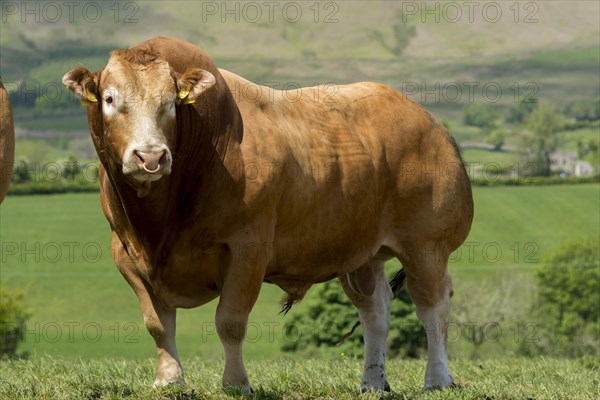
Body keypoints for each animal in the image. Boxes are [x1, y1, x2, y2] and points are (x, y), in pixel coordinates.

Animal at [62, 36, 474, 394]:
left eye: (170, 103)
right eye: (110, 98)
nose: (150, 156)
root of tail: (430, 123)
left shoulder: (247, 250)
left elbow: (230, 322)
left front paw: (235, 383)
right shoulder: (126, 253)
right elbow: (158, 325)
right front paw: (170, 381)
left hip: (426, 246)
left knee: (433, 307)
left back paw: (437, 379)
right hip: (362, 252)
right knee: (376, 312)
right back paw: (372, 382)